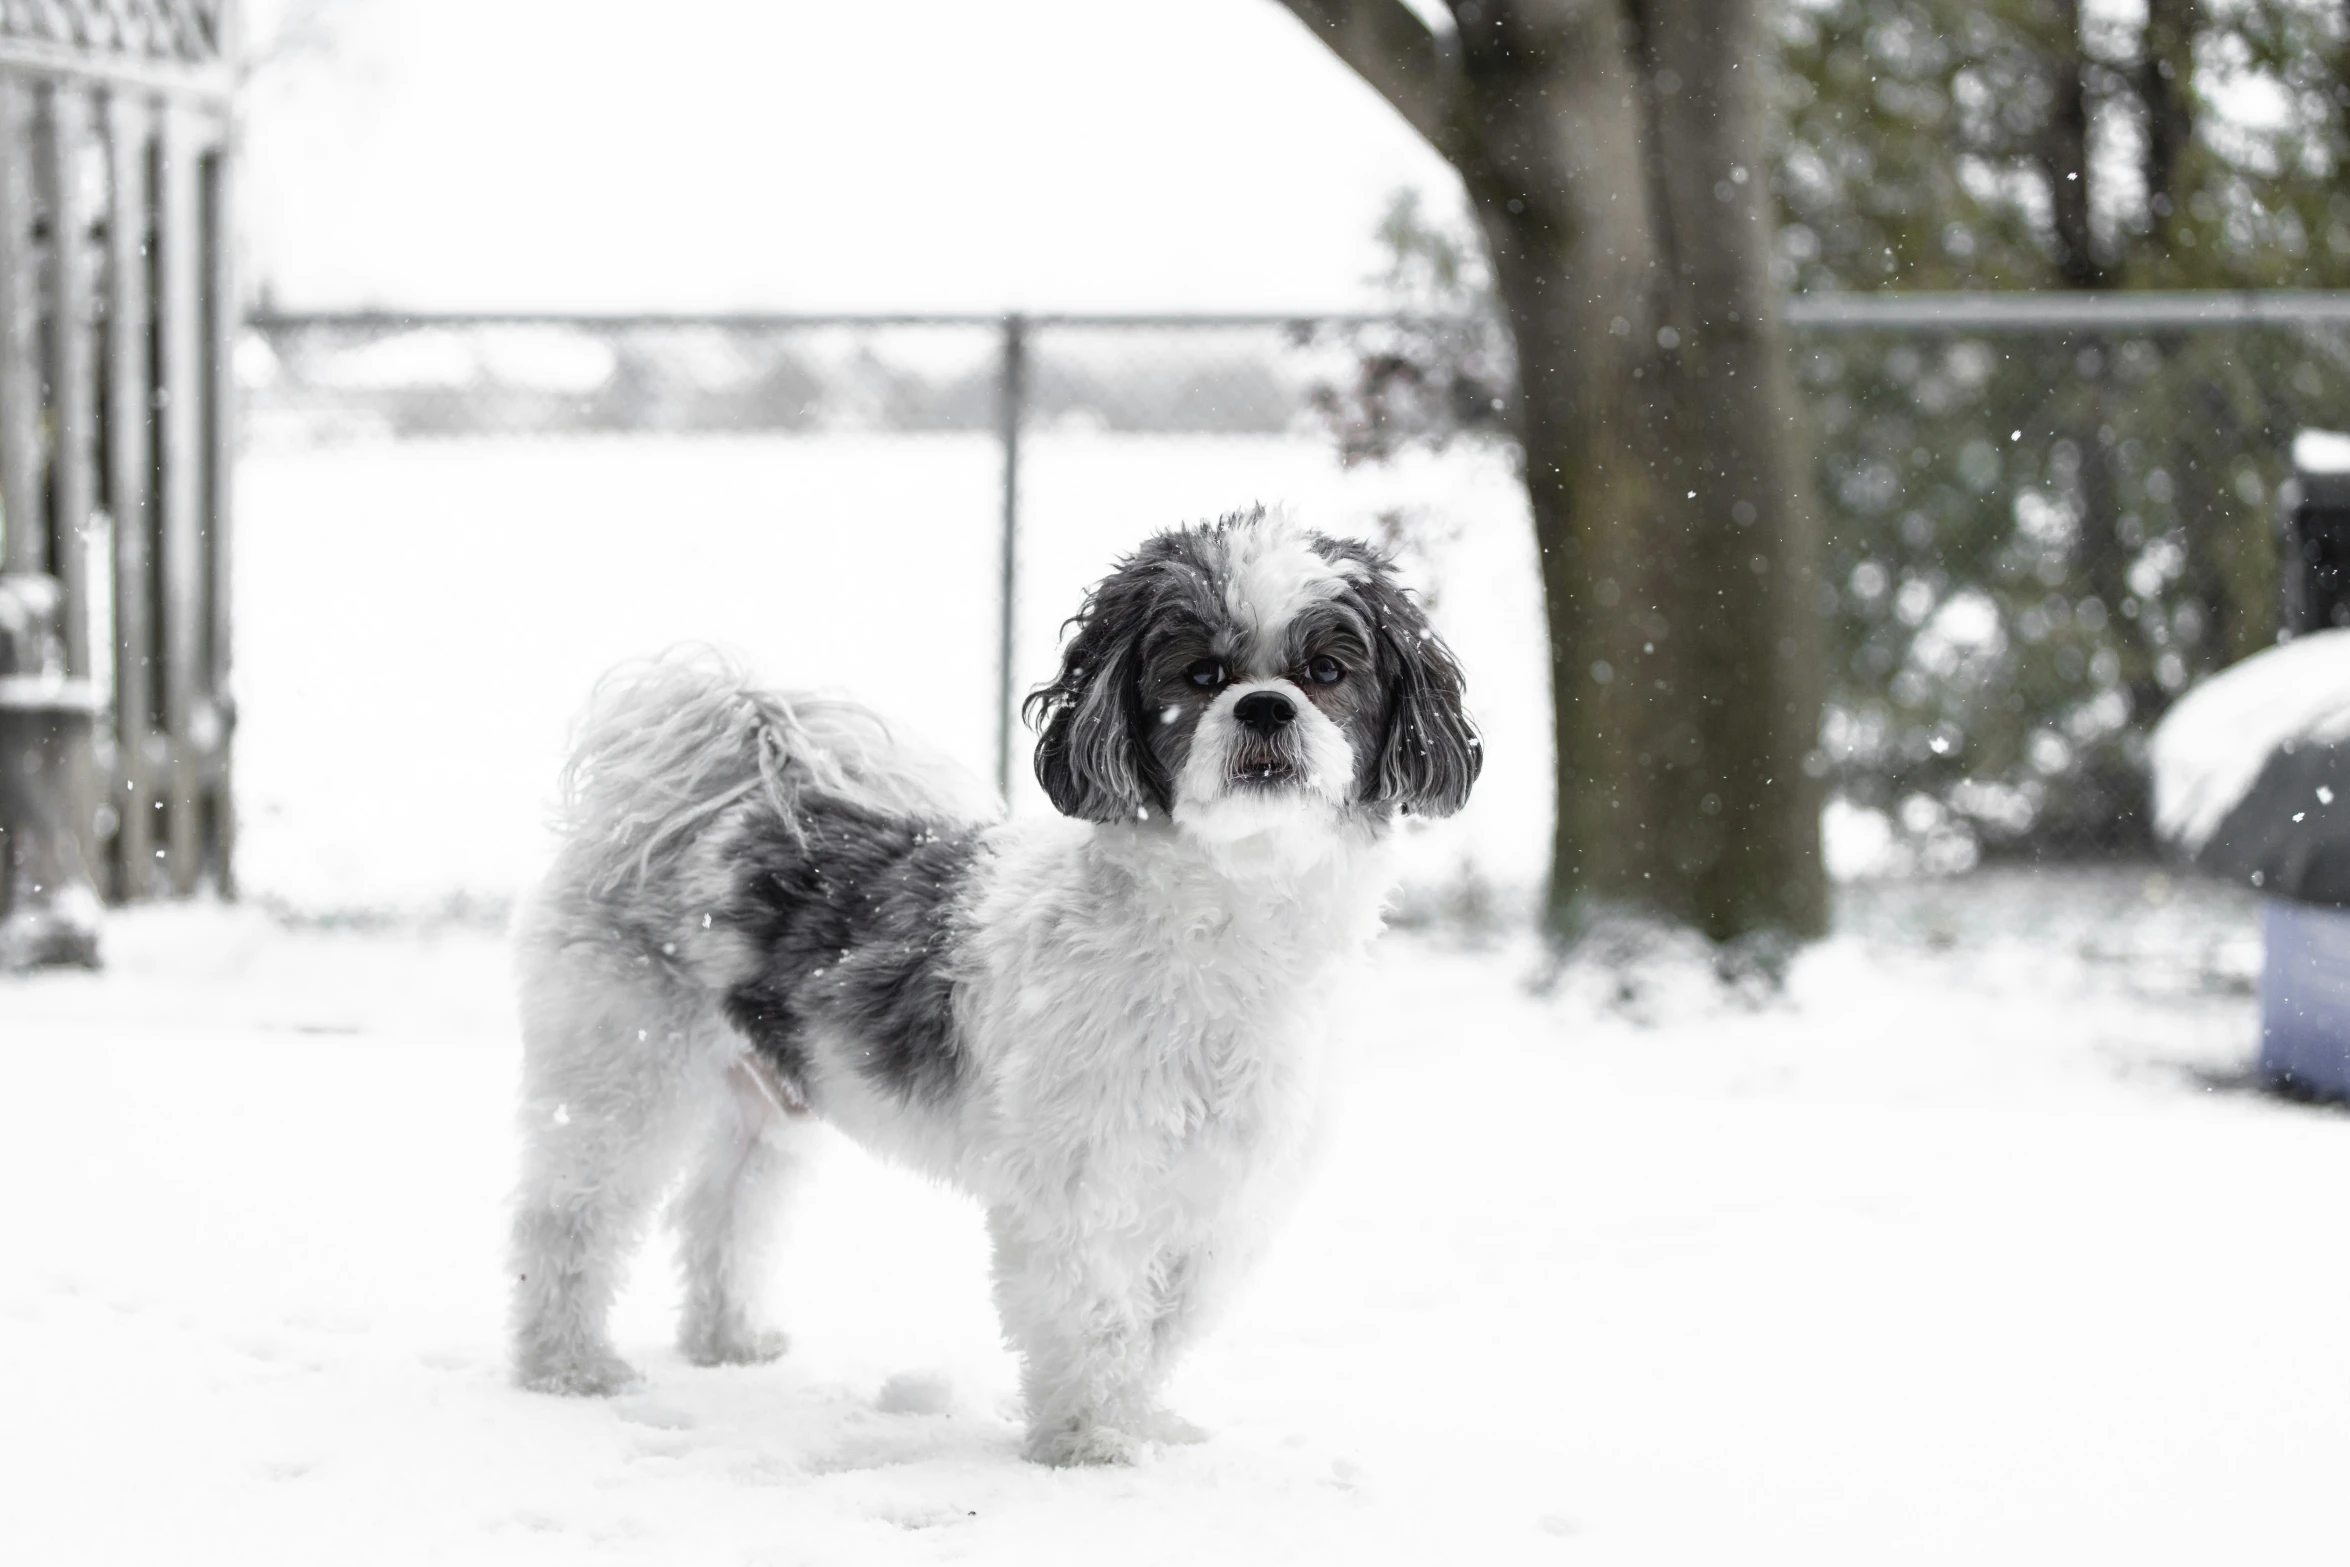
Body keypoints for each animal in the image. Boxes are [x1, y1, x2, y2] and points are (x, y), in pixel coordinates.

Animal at [507, 509, 1475, 1465]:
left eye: (1327, 671)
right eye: (1201, 674)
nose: (1266, 703)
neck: (1230, 924)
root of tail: (720, 786)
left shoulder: (1223, 1196)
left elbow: (1164, 1323)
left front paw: (1144, 1420)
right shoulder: (1076, 1181)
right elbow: (1094, 1314)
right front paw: (1089, 1440)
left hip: (770, 1101)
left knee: (725, 1210)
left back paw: (729, 1338)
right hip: (622, 1068)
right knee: (571, 1216)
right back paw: (566, 1364)